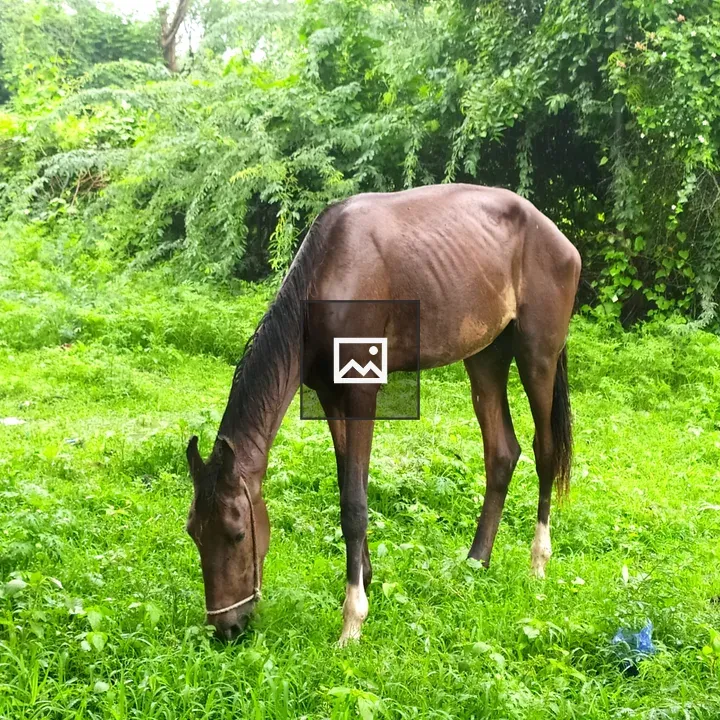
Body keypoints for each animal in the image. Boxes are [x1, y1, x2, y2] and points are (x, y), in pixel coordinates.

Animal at [185, 183, 581, 643]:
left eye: (236, 534)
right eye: (194, 532)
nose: (226, 627)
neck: (328, 277)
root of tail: (559, 238)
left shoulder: (362, 394)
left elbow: (355, 505)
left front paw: (352, 620)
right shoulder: (330, 397)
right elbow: (347, 490)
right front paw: (365, 577)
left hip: (538, 356)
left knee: (545, 452)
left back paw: (538, 562)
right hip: (484, 356)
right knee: (502, 453)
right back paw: (476, 562)